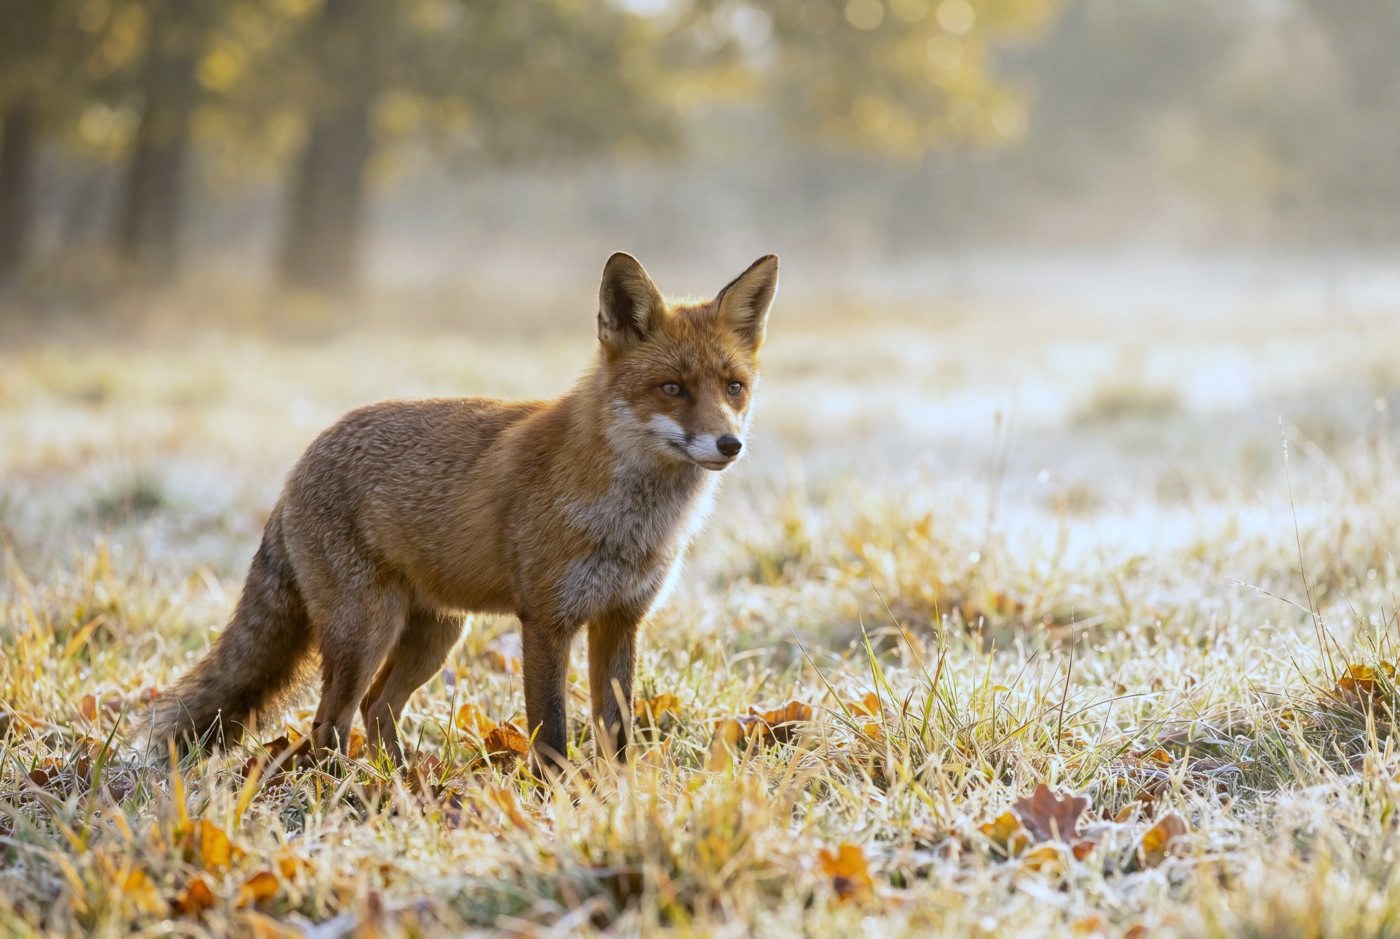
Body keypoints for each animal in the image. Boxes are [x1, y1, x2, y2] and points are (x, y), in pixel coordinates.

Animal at [149, 252, 779, 771]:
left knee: (377, 709)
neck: (633, 523)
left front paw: (619, 796)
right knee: (330, 724)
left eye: (734, 387)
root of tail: (297, 466)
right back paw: (346, 790)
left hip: (436, 636)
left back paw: (399, 779)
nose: (730, 444)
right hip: (366, 634)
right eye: (672, 388)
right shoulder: (546, 621)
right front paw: (557, 802)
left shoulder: (621, 620)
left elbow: (617, 734)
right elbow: (551, 733)